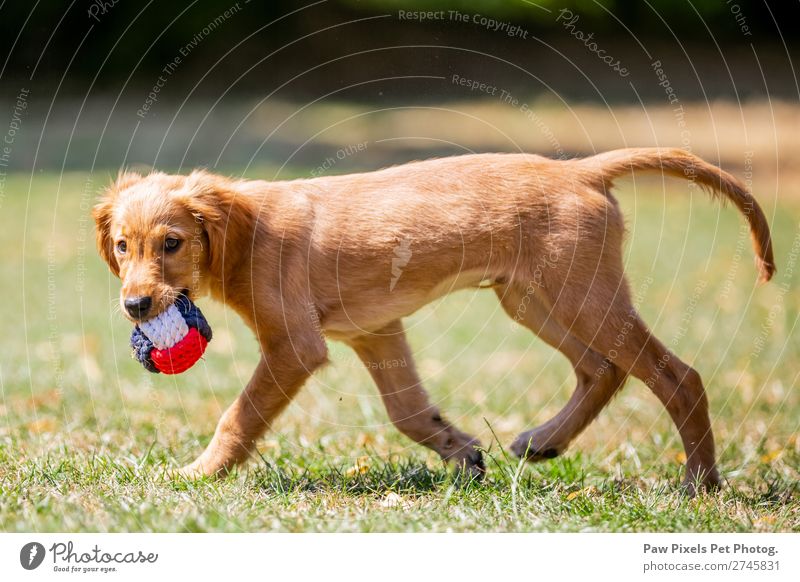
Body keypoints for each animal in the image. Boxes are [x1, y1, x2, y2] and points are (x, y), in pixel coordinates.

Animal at [94, 149, 776, 492]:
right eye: (122, 246)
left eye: (173, 243)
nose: (134, 306)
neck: (246, 231)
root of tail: (579, 167)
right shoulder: (374, 331)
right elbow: (407, 410)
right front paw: (461, 451)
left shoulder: (294, 346)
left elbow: (240, 415)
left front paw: (198, 473)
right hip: (535, 296)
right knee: (602, 370)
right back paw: (545, 441)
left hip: (579, 293)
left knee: (678, 375)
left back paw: (700, 482)